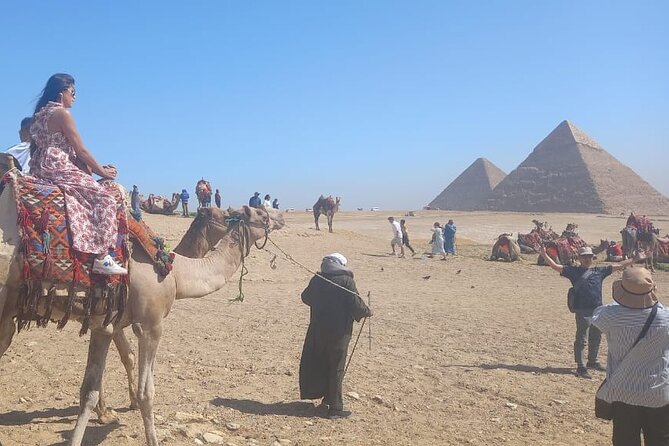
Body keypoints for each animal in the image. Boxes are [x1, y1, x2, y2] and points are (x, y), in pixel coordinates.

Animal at [0, 184, 284, 446]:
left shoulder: (105, 325)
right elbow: (146, 391)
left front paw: (105, 414)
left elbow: (90, 390)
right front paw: (142, 425)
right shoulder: (150, 324)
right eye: (262, 214)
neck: (176, 273)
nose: (281, 217)